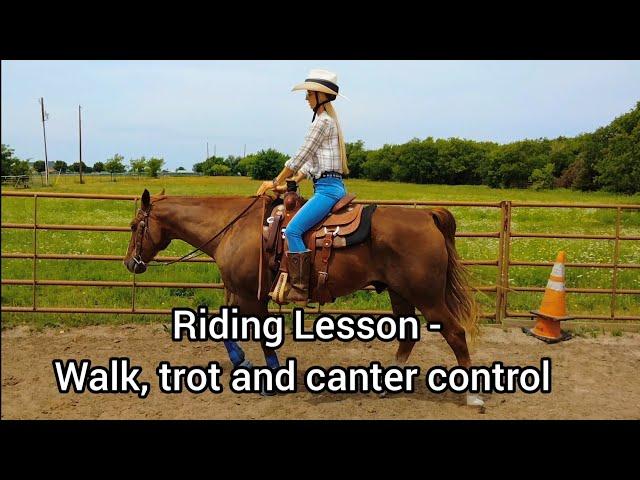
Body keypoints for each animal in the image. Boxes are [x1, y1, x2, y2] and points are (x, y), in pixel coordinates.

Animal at [124, 189, 484, 406]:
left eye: (133, 225)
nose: (130, 263)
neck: (230, 228)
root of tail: (426, 216)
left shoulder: (252, 297)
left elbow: (262, 336)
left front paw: (270, 378)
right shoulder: (237, 293)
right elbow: (224, 327)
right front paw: (243, 362)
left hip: (427, 296)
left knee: (455, 333)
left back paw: (471, 397)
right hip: (400, 294)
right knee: (408, 336)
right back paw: (387, 385)